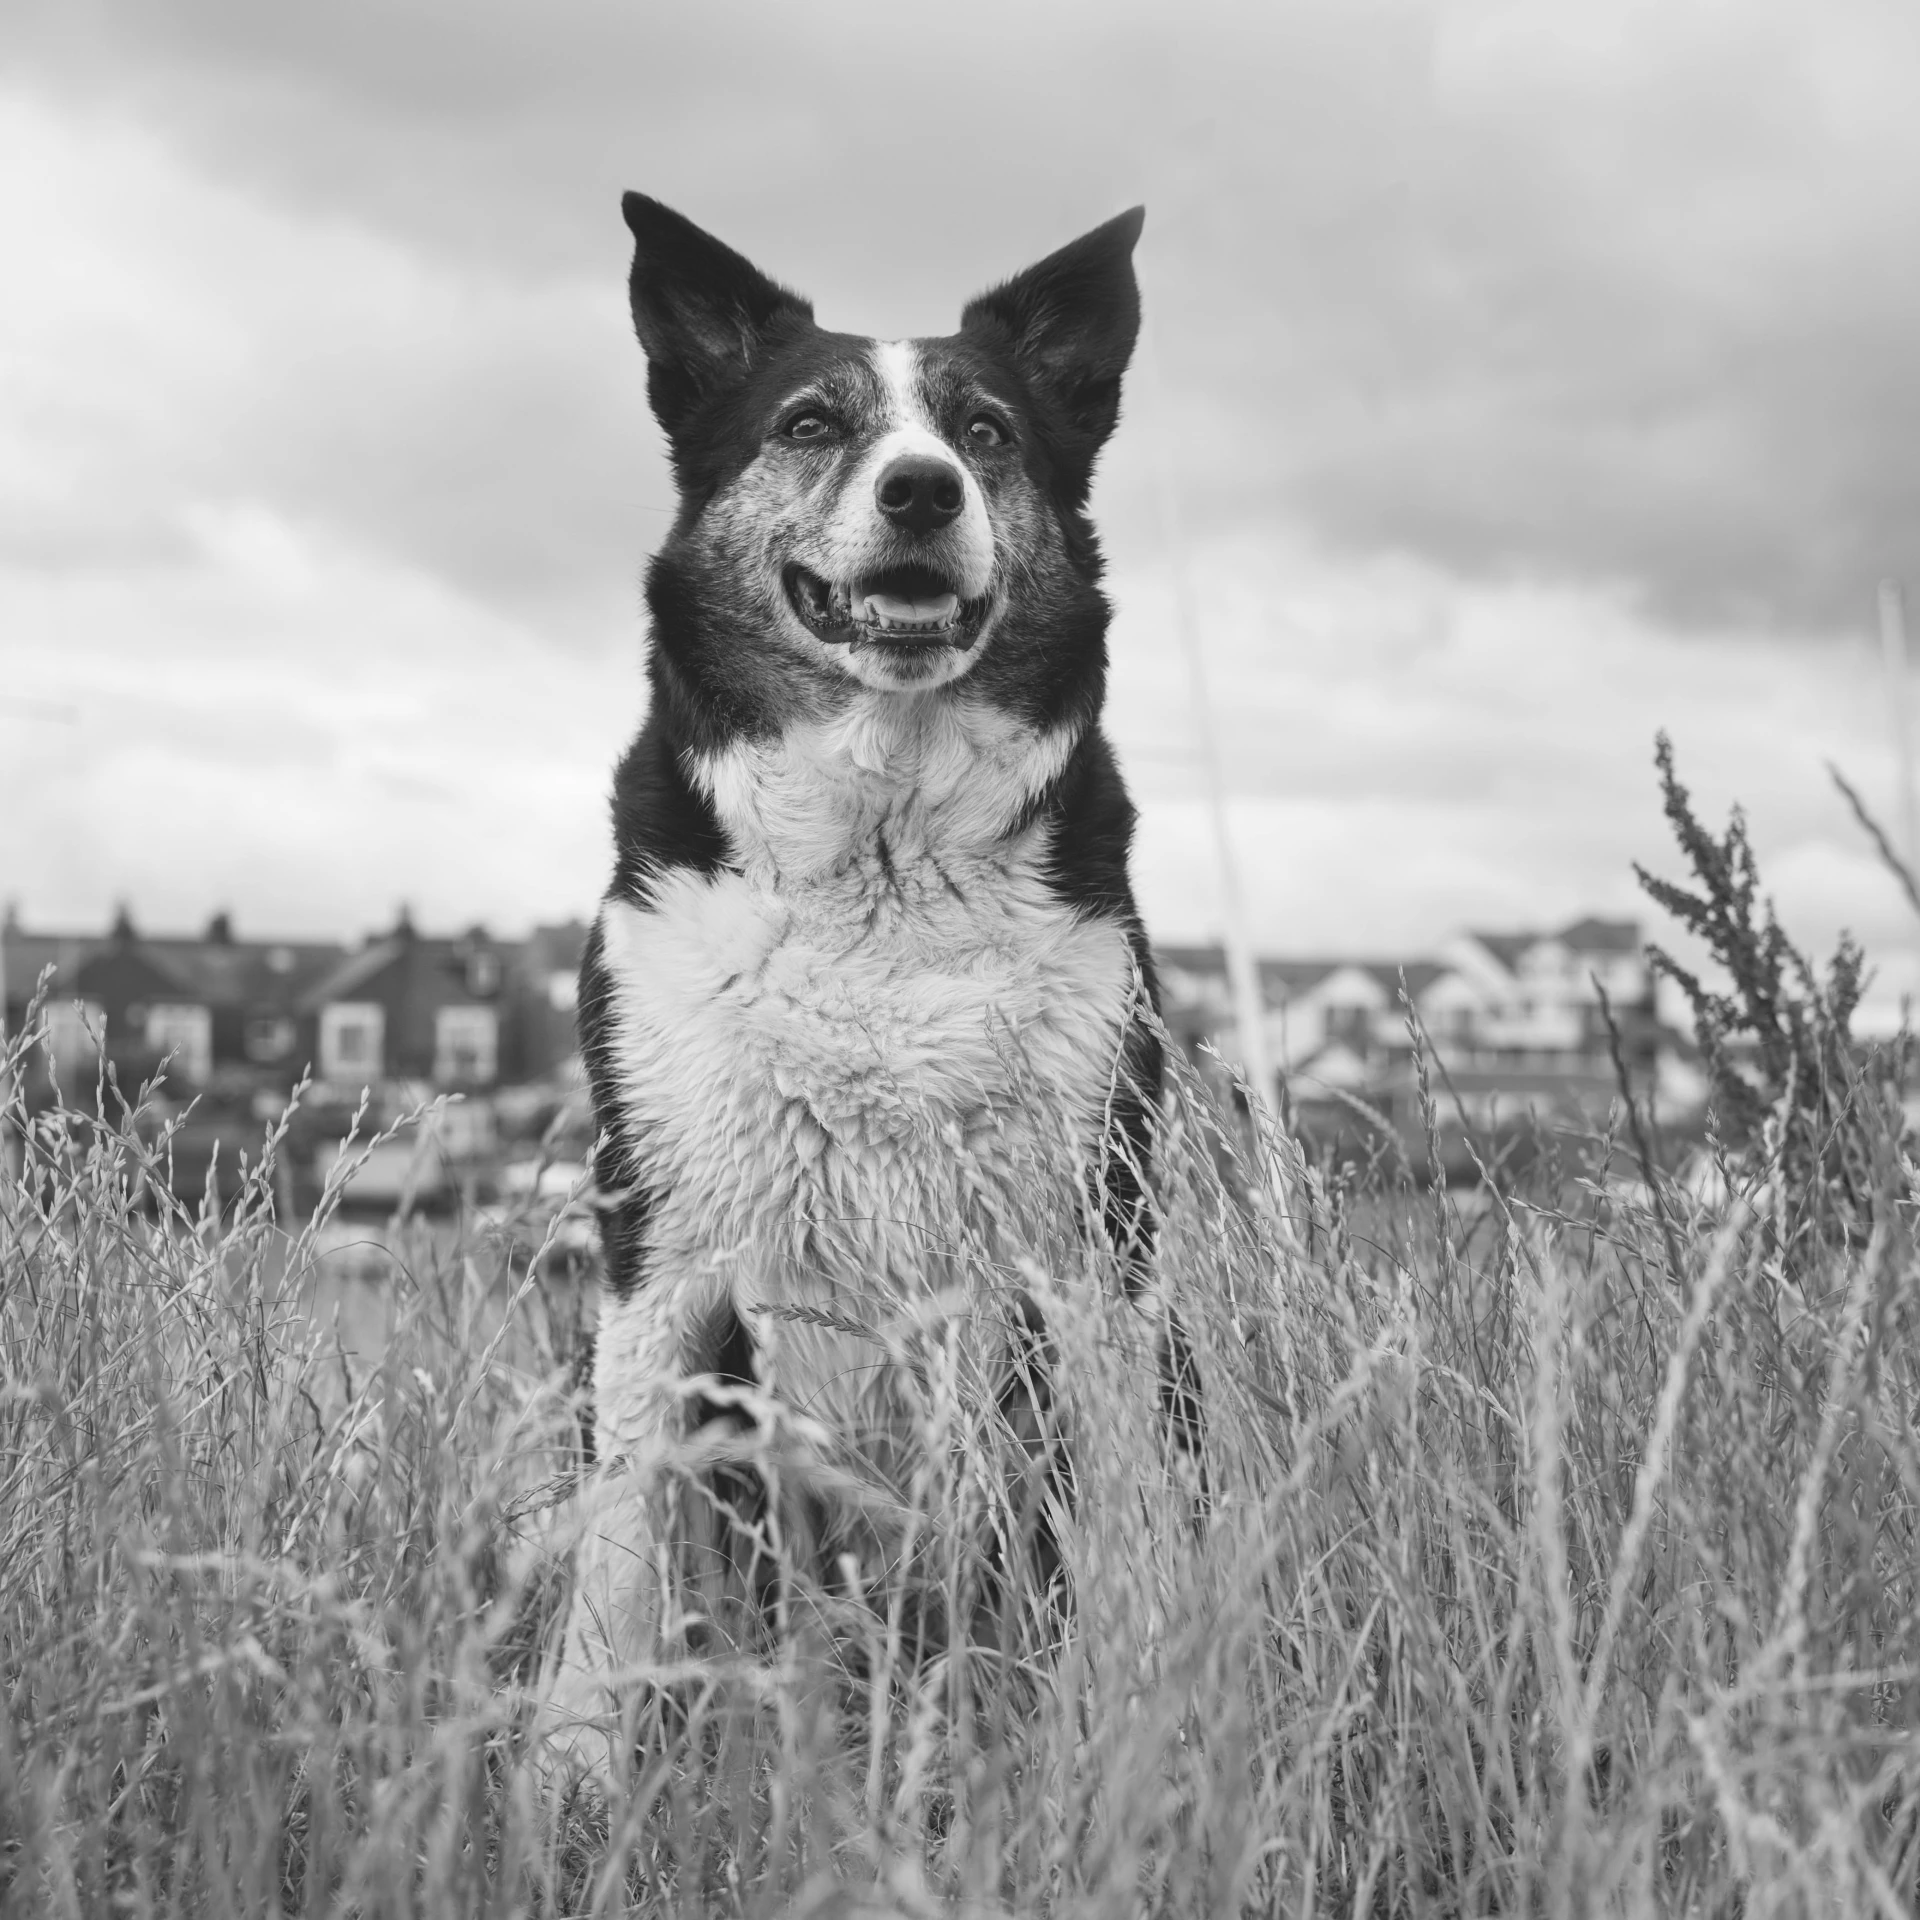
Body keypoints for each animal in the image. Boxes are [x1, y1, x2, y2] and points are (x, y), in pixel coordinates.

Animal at [533, 194, 1175, 1781]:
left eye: (987, 431)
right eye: (813, 422)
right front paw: (573, 1764)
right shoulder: (662, 1233)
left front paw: (1137, 1727)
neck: (882, 858)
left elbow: (1123, 1521)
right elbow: (621, 1538)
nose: (923, 490)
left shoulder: (1093, 1242)